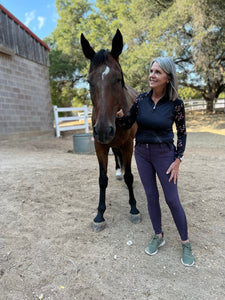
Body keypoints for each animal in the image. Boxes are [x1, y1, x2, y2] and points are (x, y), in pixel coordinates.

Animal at [80, 29, 141, 231]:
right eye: (90, 81)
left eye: (118, 79)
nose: (103, 130)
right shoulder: (100, 146)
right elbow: (102, 179)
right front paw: (99, 215)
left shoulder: (128, 144)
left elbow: (130, 175)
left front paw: (134, 209)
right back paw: (117, 171)